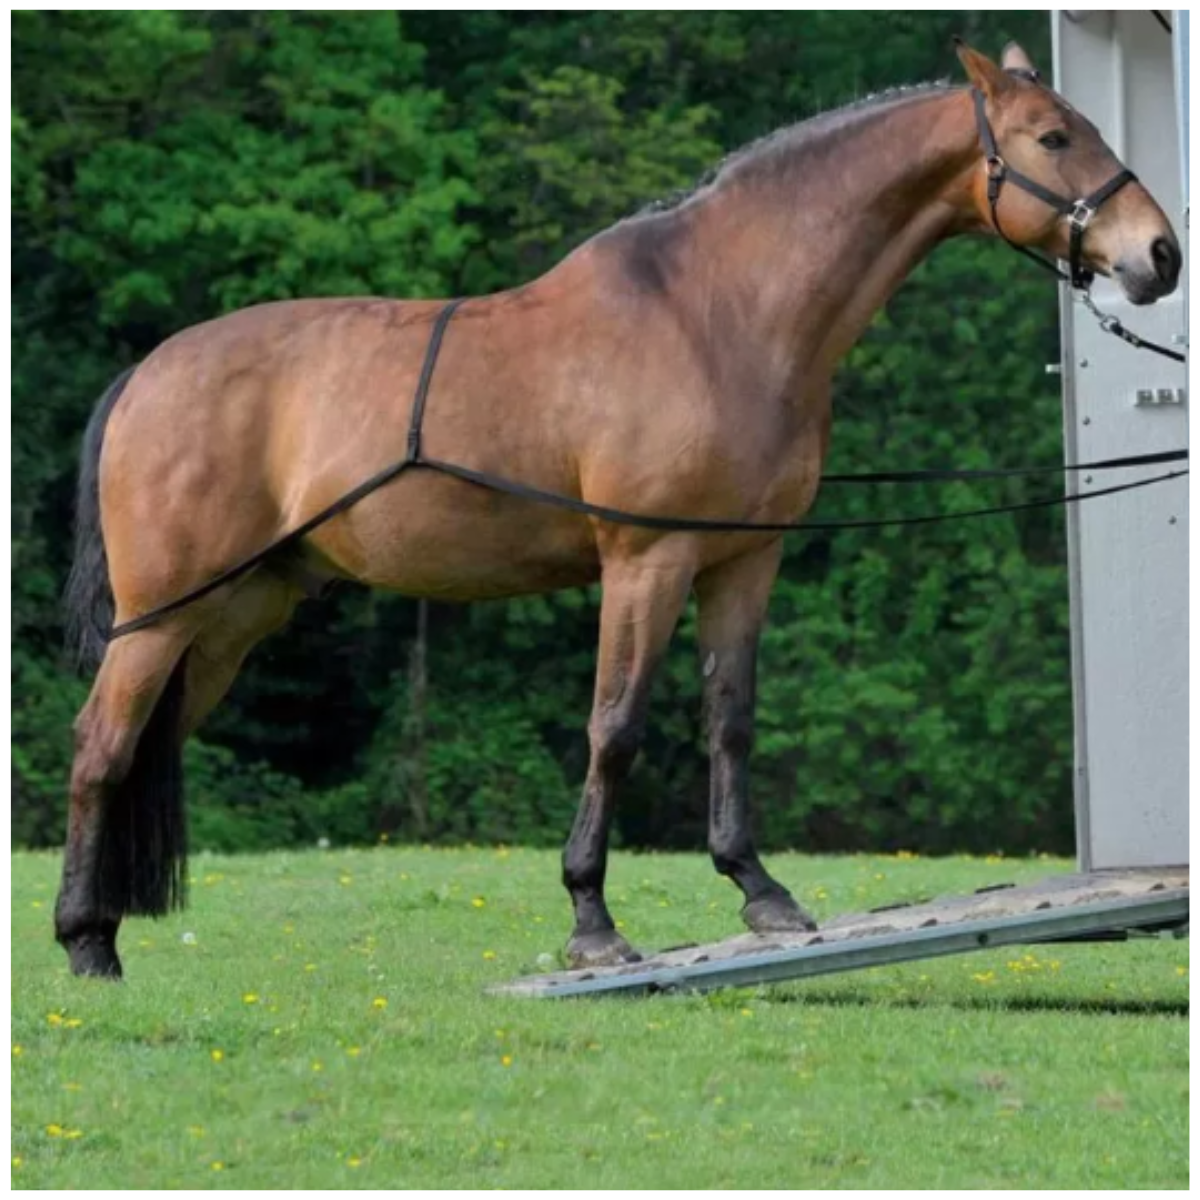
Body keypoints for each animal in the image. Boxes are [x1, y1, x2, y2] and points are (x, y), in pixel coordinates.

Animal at [56, 42, 1181, 978]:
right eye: (1053, 137)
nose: (1159, 255)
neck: (718, 313)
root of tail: (148, 374)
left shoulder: (743, 560)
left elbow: (730, 718)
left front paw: (760, 893)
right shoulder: (648, 560)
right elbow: (616, 728)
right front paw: (592, 921)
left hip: (233, 616)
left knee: (142, 743)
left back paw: (102, 930)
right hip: (162, 617)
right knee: (100, 747)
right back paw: (85, 945)